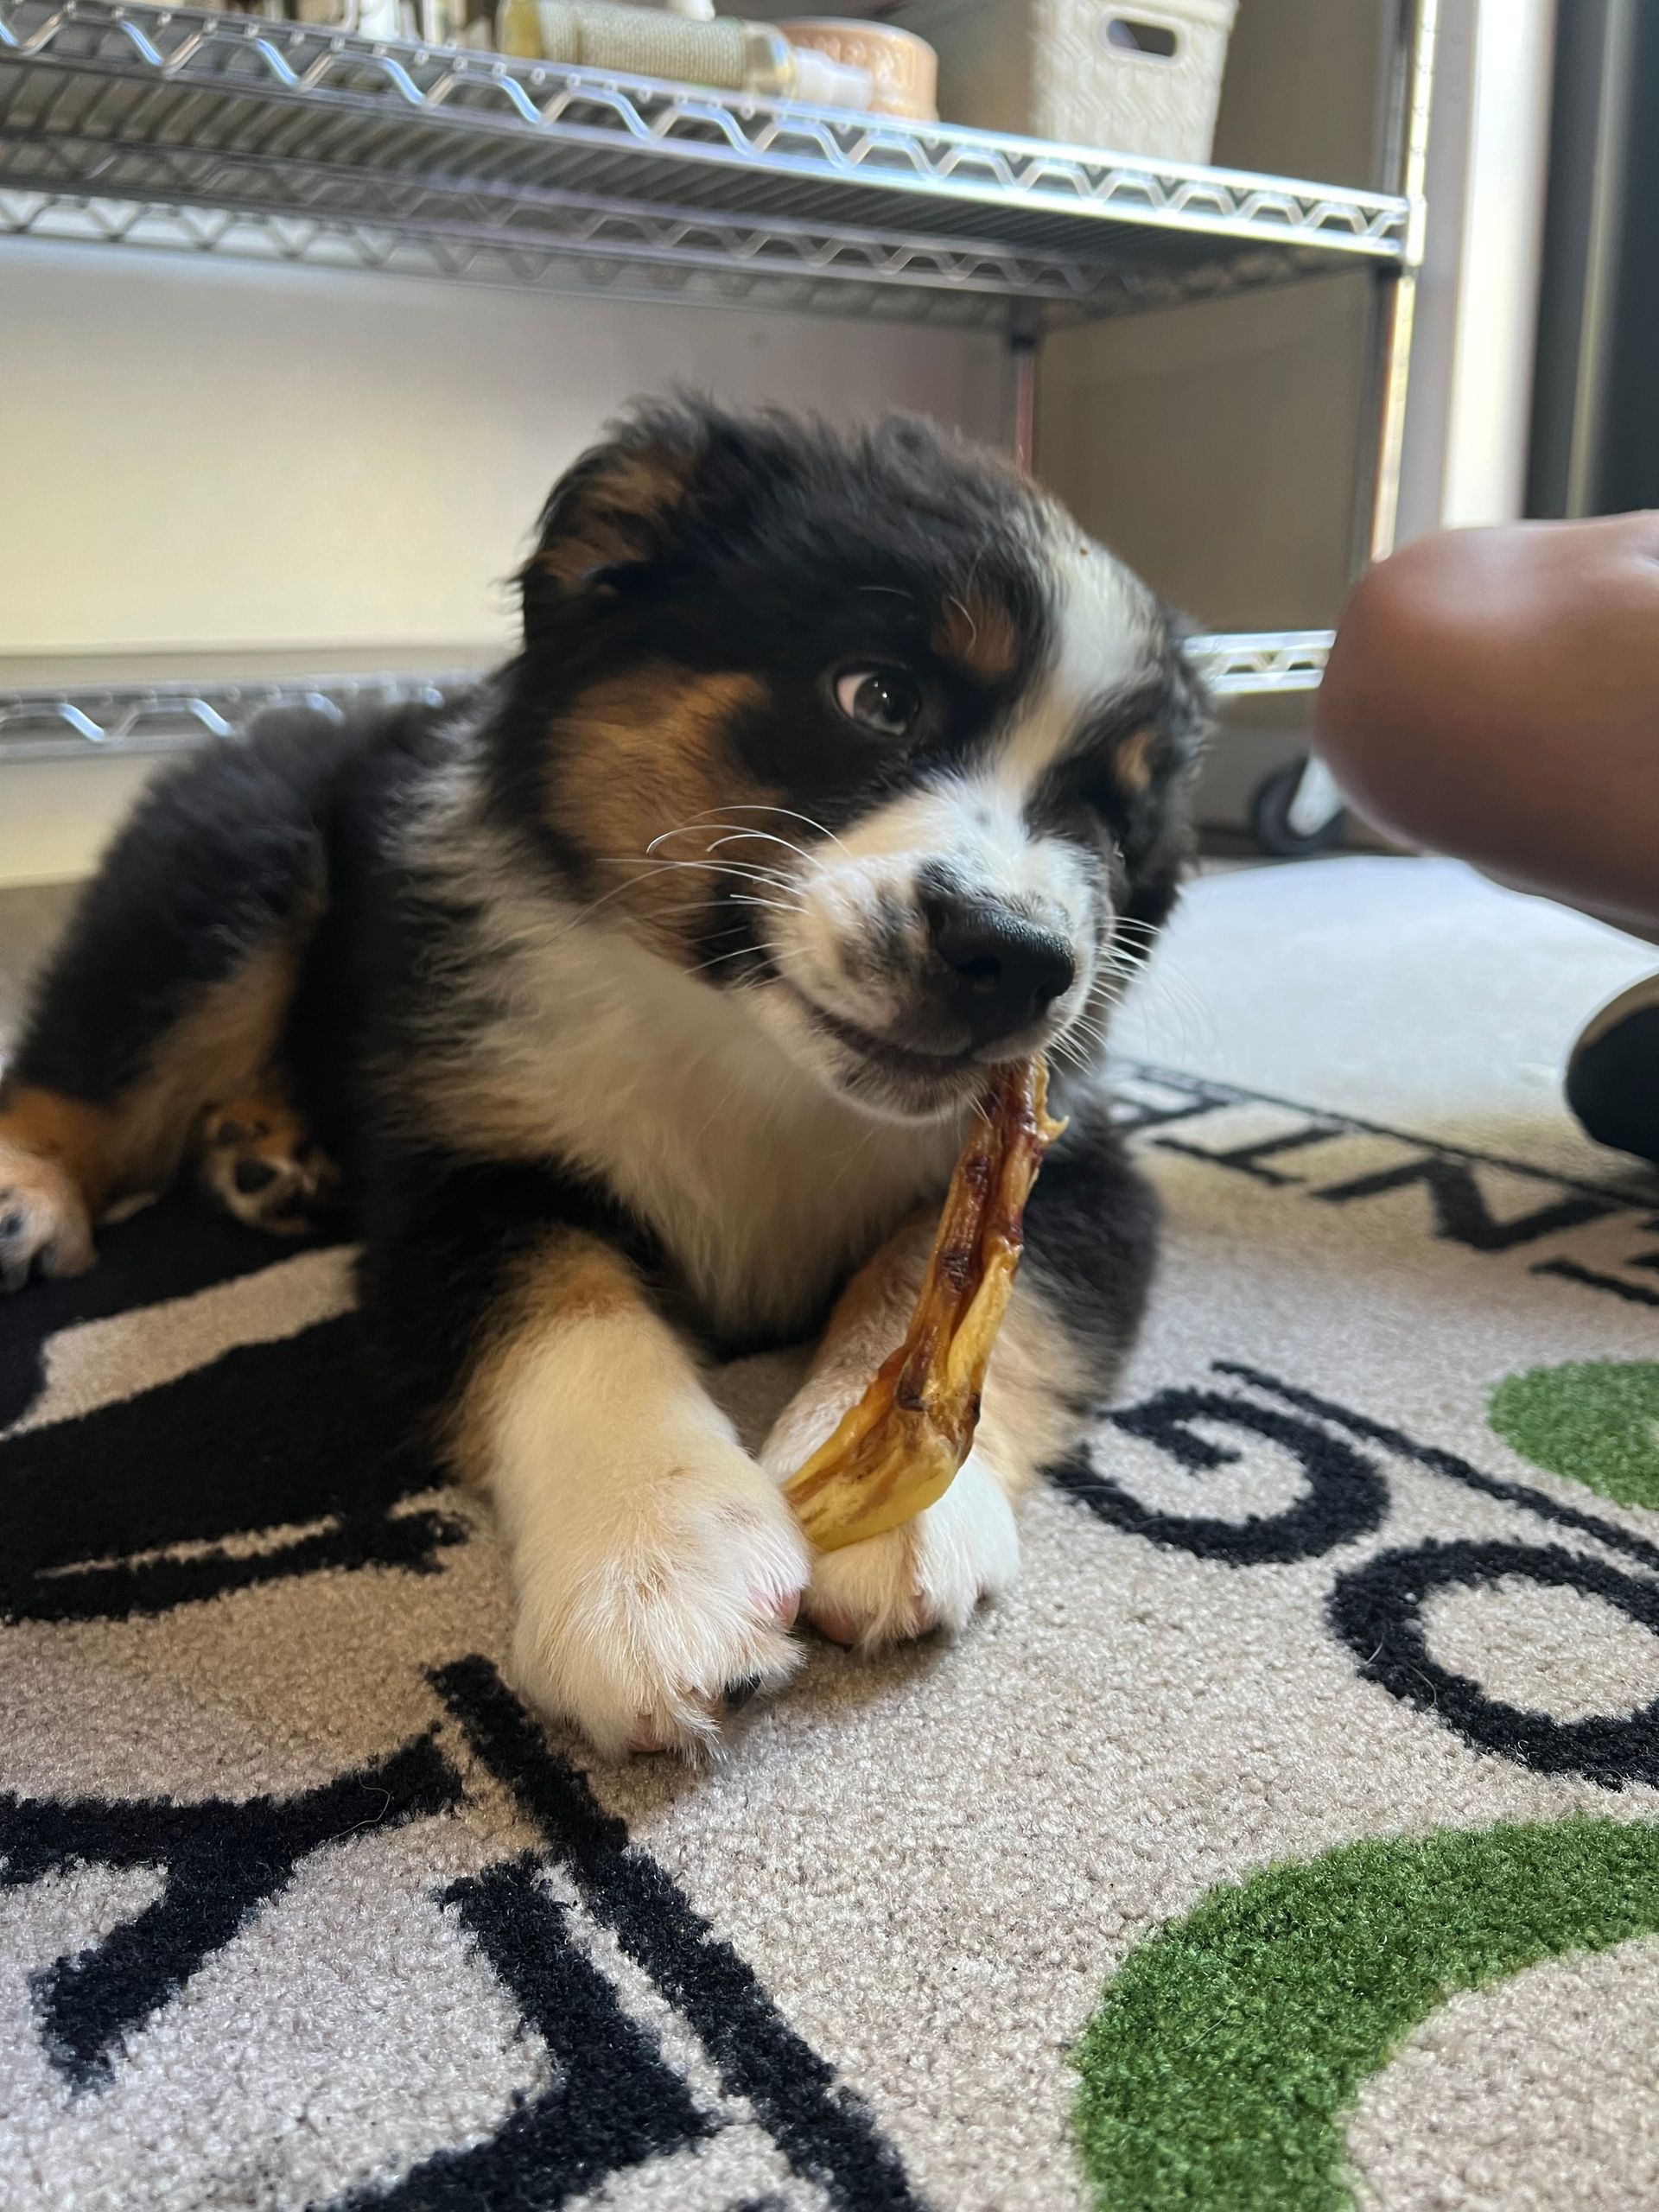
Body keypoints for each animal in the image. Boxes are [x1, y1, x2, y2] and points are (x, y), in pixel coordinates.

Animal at [0, 402, 1204, 1758]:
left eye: (1113, 819)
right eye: (879, 696)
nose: (1016, 958)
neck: (752, 1052)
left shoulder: (1074, 1162)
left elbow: (946, 1276)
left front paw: (904, 1506)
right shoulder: (460, 1159)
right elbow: (569, 1308)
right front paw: (657, 1565)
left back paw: (269, 1151)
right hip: (231, 862)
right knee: (89, 1062)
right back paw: (30, 1190)